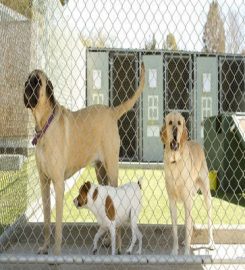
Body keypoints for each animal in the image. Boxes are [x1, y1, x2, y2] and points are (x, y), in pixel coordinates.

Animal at [23, 63, 145, 255]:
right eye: (28, 80)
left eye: (37, 82)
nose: (26, 87)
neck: (44, 124)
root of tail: (111, 111)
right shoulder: (44, 182)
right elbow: (47, 221)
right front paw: (45, 247)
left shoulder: (58, 183)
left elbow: (58, 224)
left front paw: (56, 252)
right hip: (100, 172)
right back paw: (108, 241)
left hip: (111, 168)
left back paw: (117, 246)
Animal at [160, 112, 213, 255]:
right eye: (170, 122)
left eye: (179, 123)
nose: (175, 131)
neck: (175, 162)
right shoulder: (172, 201)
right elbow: (175, 230)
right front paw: (175, 250)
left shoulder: (187, 200)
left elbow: (187, 226)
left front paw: (186, 254)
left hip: (206, 194)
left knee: (209, 220)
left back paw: (211, 243)